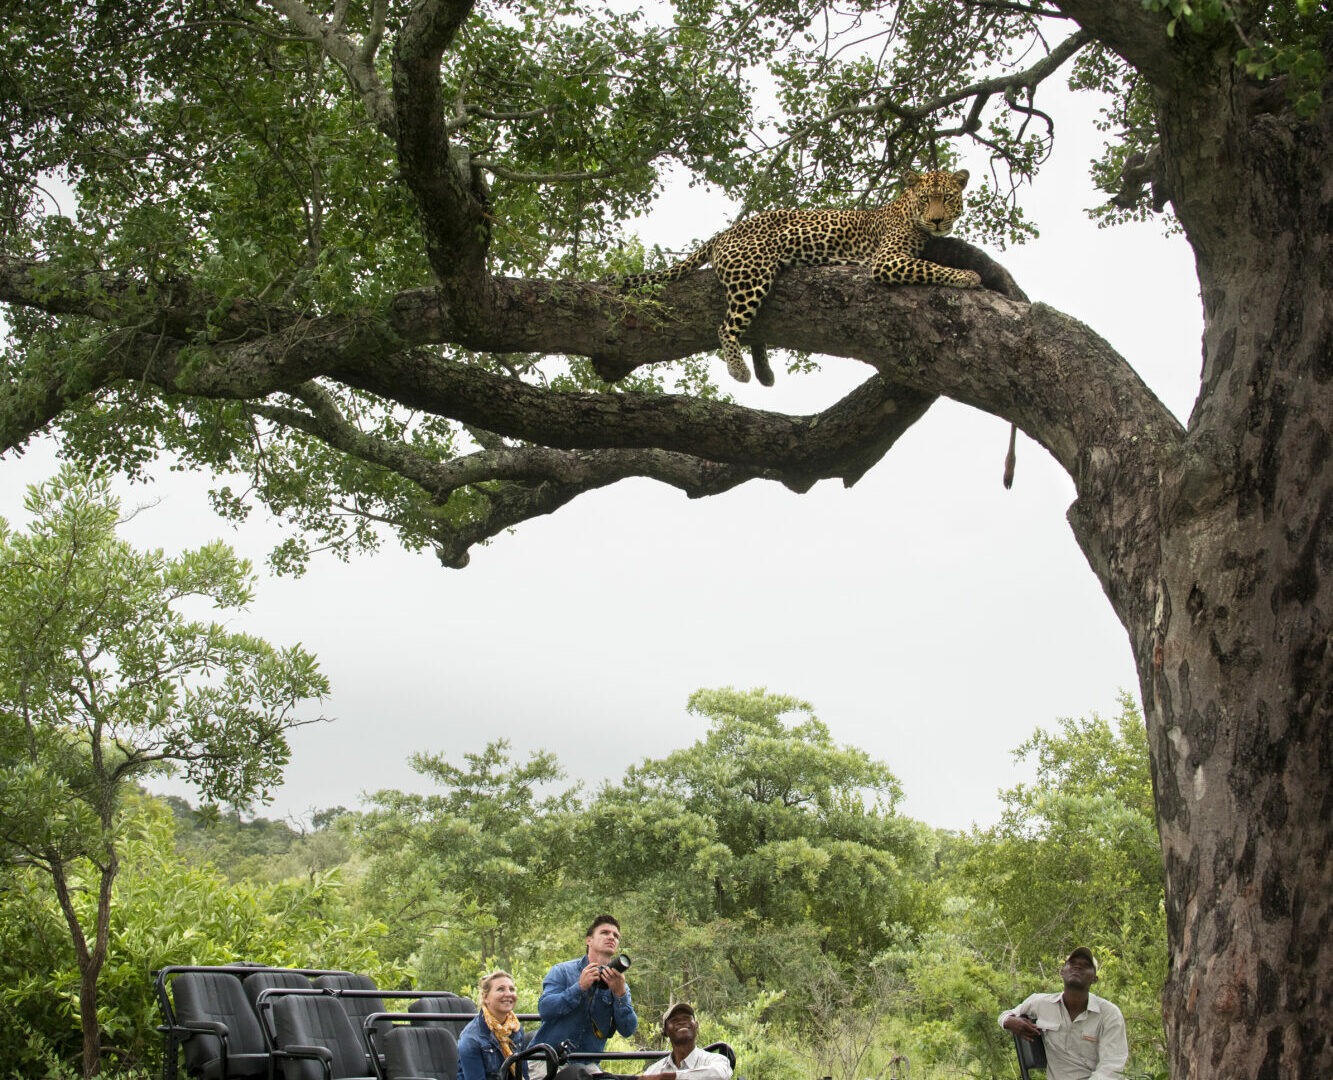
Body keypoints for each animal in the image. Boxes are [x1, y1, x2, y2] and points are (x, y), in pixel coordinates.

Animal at [617, 169, 983, 386]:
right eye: (926, 199)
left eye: (948, 198)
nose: (937, 220)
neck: (907, 211)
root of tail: (725, 233)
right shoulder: (886, 260)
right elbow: (931, 267)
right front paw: (968, 275)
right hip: (752, 275)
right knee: (726, 327)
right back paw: (740, 370)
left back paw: (764, 372)